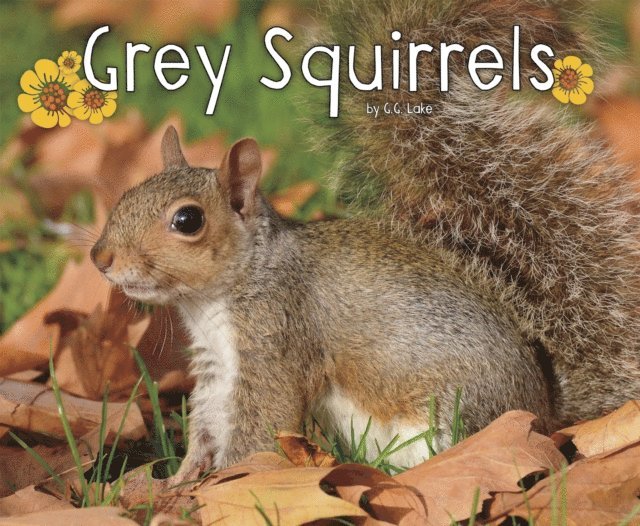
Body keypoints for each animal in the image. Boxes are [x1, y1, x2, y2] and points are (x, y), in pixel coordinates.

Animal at [91, 0, 640, 478]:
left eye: (188, 220)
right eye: (127, 193)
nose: (101, 258)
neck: (228, 288)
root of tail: (546, 416)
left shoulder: (278, 337)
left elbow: (260, 426)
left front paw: (217, 488)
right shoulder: (215, 369)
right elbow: (206, 427)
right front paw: (181, 481)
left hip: (448, 419)